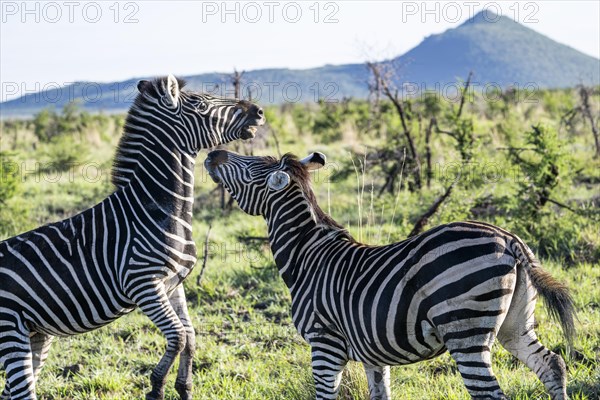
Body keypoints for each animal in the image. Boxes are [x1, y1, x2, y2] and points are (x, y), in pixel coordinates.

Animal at [0, 76, 262, 400]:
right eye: (202, 104)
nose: (259, 111)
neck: (158, 207)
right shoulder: (143, 284)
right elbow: (177, 336)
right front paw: (156, 386)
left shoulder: (173, 284)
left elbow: (189, 336)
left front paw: (184, 387)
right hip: (10, 331)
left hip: (35, 334)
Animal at [205, 151, 576, 400]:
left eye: (251, 165)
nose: (212, 154)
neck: (306, 257)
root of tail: (508, 240)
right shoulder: (372, 354)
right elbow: (379, 394)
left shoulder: (324, 344)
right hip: (515, 324)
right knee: (552, 365)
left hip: (465, 330)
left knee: (489, 391)